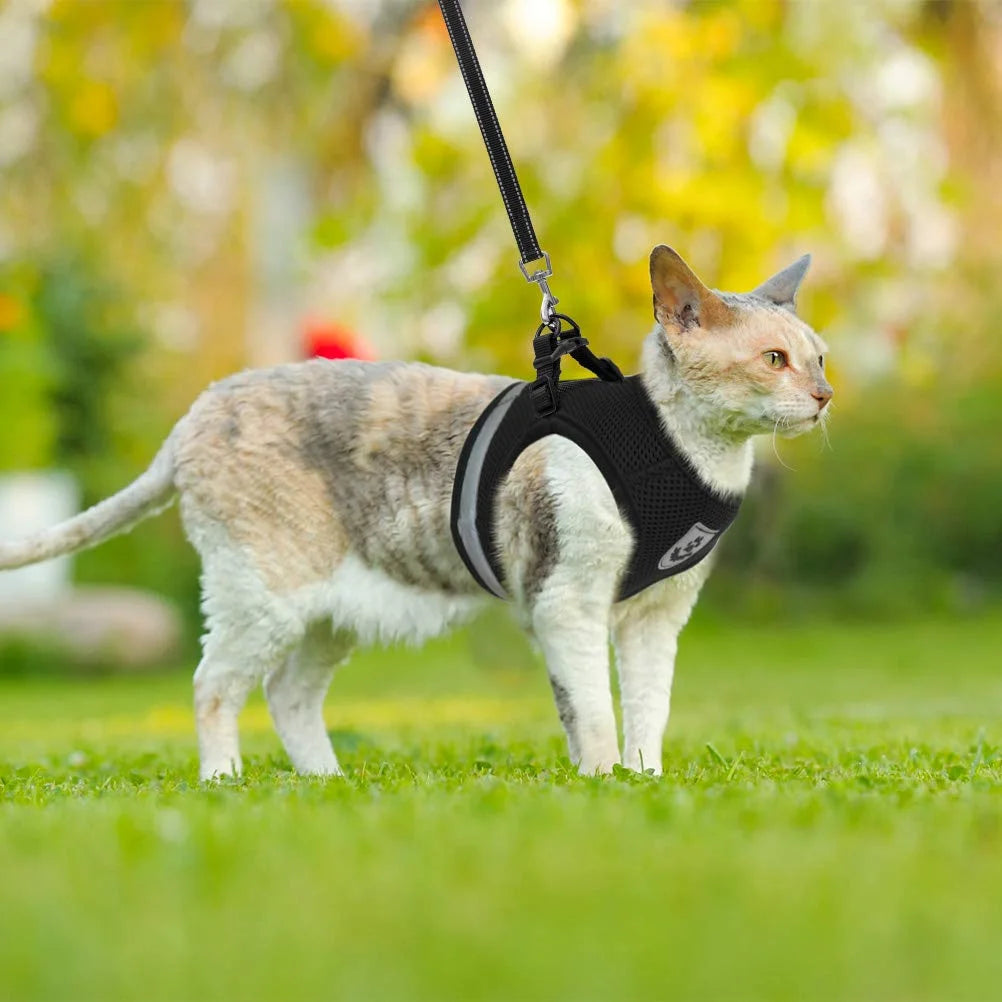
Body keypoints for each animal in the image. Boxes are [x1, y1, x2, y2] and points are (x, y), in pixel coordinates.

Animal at [0, 246, 829, 777]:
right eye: (774, 361)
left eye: (818, 358)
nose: (826, 396)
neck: (684, 454)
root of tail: (199, 409)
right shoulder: (567, 601)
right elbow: (592, 712)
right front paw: (605, 789)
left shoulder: (657, 616)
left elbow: (648, 713)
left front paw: (644, 782)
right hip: (262, 592)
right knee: (213, 686)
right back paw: (225, 782)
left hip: (330, 611)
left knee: (286, 693)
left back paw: (326, 786)